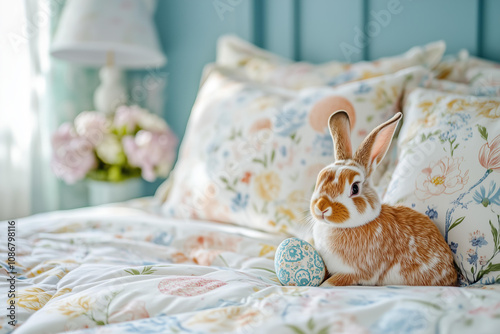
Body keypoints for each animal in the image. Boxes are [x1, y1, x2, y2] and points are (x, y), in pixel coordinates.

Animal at [310, 109, 458, 288]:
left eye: (355, 188)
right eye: (319, 178)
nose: (321, 207)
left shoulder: (358, 272)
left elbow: (334, 281)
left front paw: (324, 285)